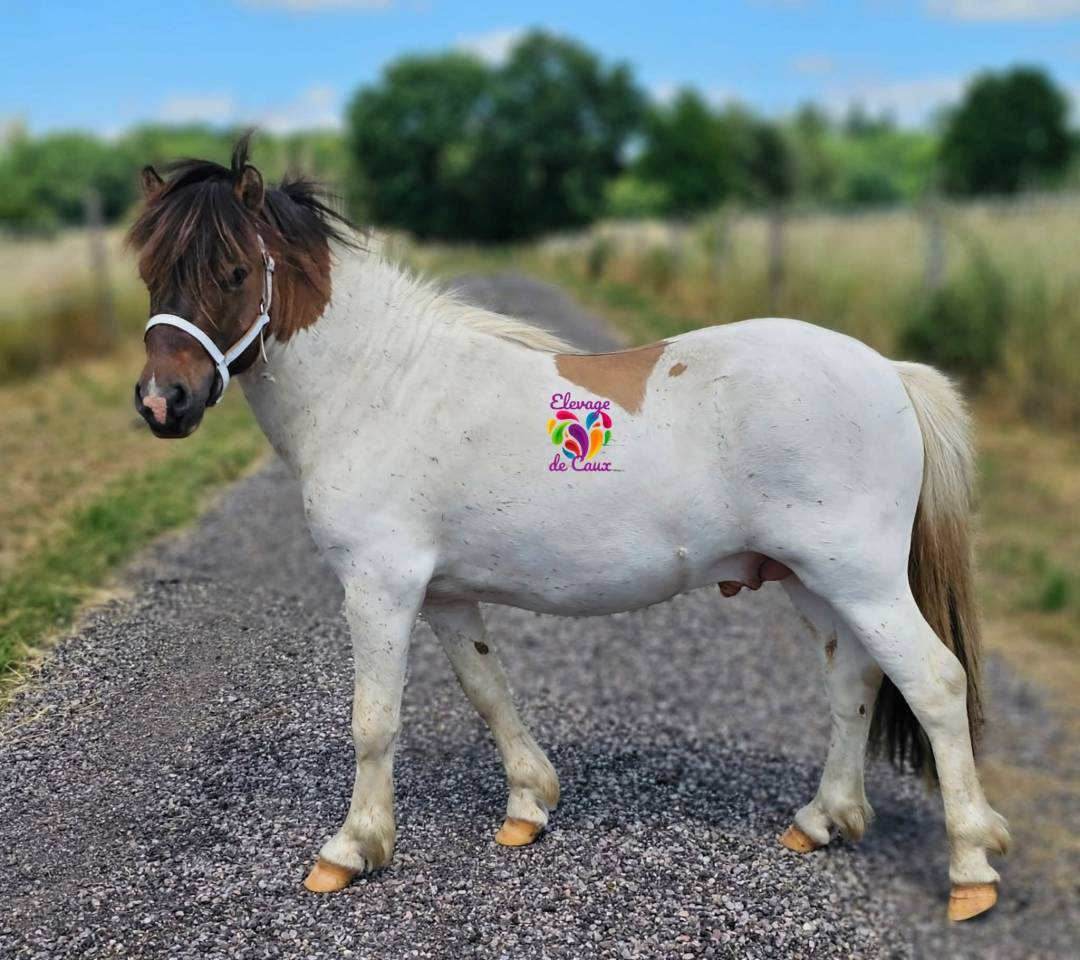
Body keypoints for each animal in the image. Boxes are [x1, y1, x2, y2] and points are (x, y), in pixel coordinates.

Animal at [129, 137, 1008, 922]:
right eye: (149, 273)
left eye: (234, 272)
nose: (162, 403)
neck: (381, 385)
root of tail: (889, 371)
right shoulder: (442, 594)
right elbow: (488, 692)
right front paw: (528, 806)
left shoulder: (379, 587)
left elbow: (374, 722)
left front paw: (350, 849)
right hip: (815, 583)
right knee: (853, 681)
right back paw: (822, 820)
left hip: (861, 579)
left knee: (934, 684)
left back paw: (970, 870)